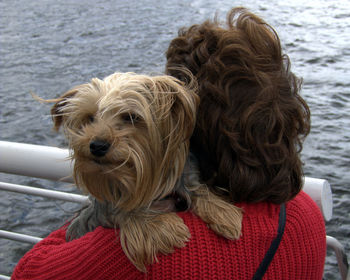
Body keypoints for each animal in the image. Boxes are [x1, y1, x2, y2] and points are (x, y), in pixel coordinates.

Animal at [49, 71, 242, 272]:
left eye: (131, 117)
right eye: (90, 118)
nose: (97, 145)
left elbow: (196, 188)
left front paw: (223, 213)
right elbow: (122, 208)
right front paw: (159, 226)